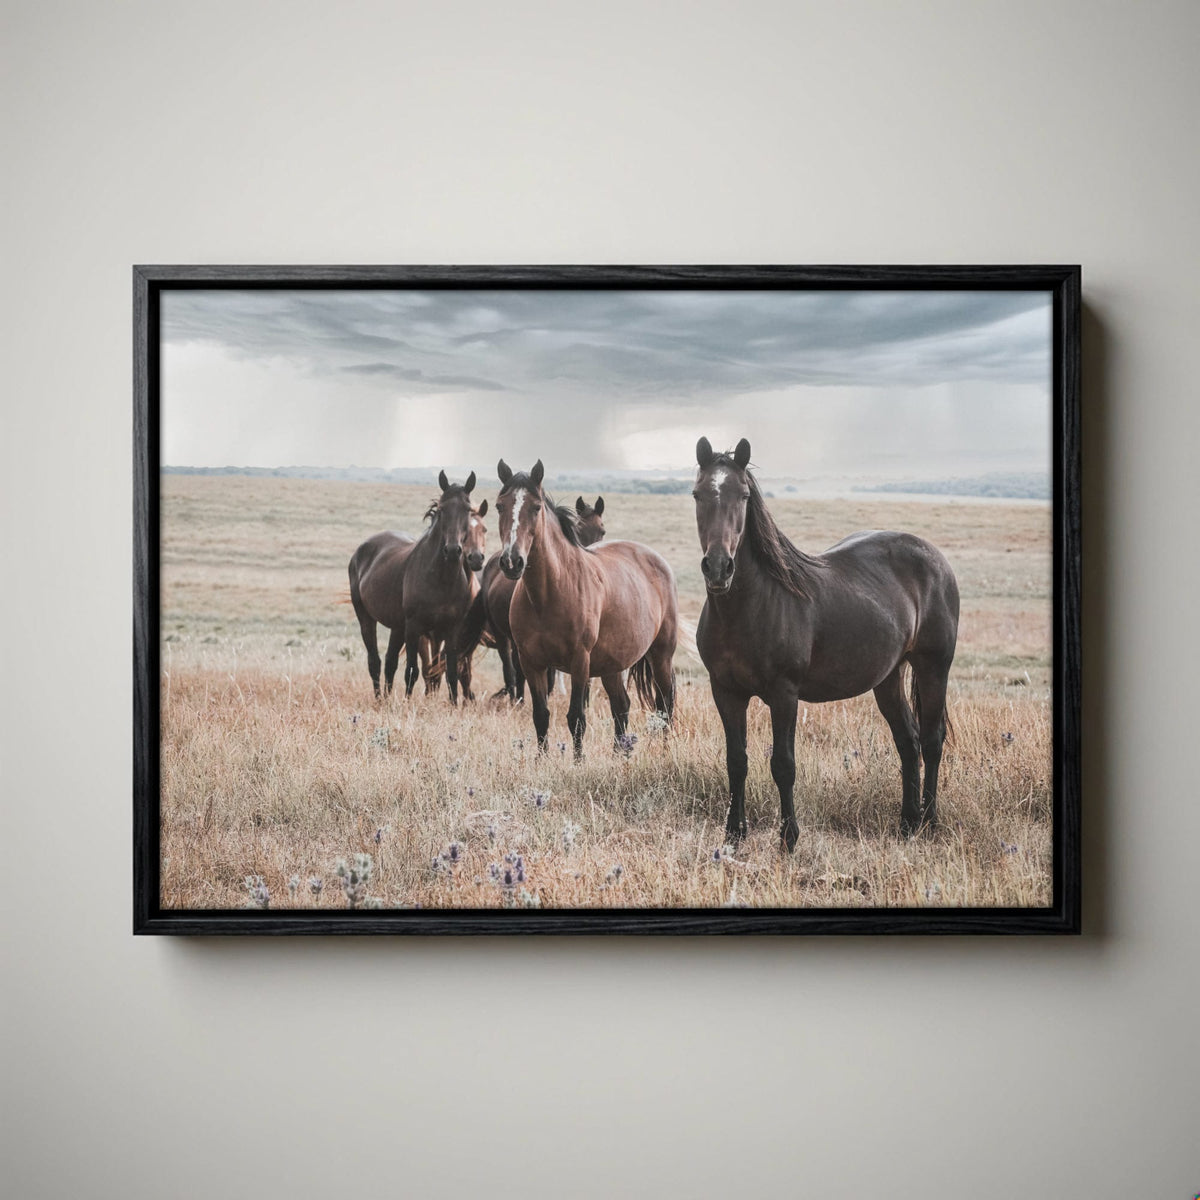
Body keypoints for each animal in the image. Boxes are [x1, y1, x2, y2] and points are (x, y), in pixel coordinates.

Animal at [348, 471, 487, 705]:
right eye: (441, 508)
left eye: (468, 510)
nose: (453, 550)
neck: (441, 579)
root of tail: (362, 550)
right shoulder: (414, 627)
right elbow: (413, 671)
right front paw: (407, 703)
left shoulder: (452, 629)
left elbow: (450, 671)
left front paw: (453, 706)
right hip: (367, 617)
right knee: (375, 661)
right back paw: (379, 700)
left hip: (397, 626)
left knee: (390, 661)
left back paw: (387, 700)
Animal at [494, 459, 677, 758]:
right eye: (500, 505)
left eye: (536, 507)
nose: (512, 561)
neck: (549, 594)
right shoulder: (531, 662)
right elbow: (541, 715)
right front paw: (541, 761)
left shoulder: (580, 661)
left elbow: (576, 718)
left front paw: (578, 763)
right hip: (612, 665)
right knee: (621, 706)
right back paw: (619, 755)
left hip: (661, 655)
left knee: (665, 704)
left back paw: (664, 750)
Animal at [692, 437, 959, 849]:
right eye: (697, 494)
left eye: (743, 495)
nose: (719, 568)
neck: (750, 607)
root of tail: (935, 558)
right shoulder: (725, 691)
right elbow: (736, 761)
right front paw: (734, 835)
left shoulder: (784, 694)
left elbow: (783, 765)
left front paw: (788, 838)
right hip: (889, 677)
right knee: (908, 741)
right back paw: (907, 823)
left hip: (934, 667)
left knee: (931, 740)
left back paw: (929, 822)